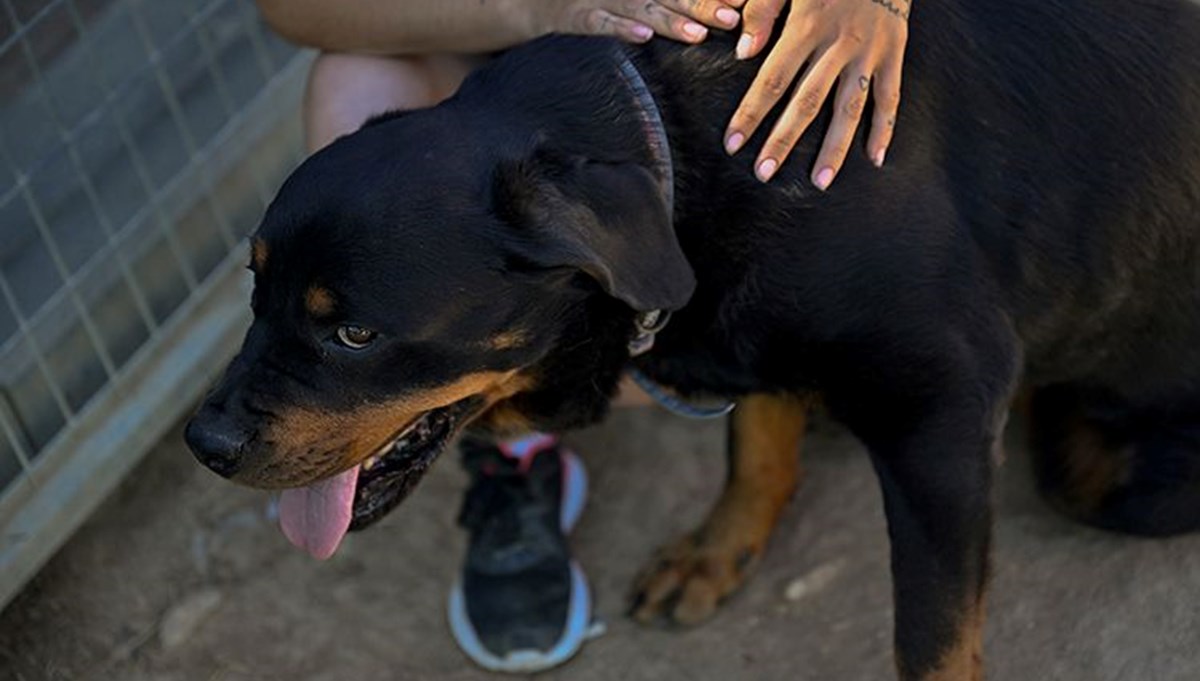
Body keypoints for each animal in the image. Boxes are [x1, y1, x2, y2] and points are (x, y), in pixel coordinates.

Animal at [184, 2, 1200, 676]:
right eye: (254, 290)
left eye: (355, 332)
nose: (203, 441)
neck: (679, 154)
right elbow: (753, 441)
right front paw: (717, 547)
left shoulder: (937, 416)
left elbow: (934, 635)